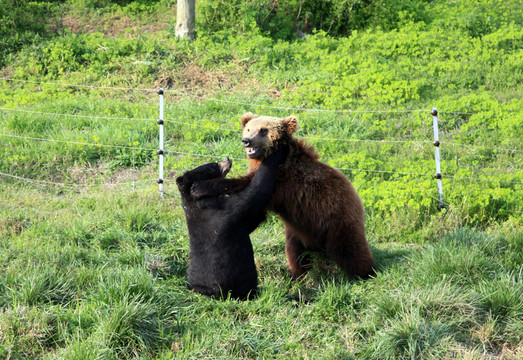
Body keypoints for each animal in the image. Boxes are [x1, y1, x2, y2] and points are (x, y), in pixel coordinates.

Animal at [192, 114, 376, 280]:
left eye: (263, 130)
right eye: (249, 128)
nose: (246, 140)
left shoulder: (281, 182)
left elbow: (249, 191)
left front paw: (199, 187)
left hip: (337, 219)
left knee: (350, 250)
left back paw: (365, 274)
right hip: (298, 232)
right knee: (295, 253)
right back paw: (296, 274)